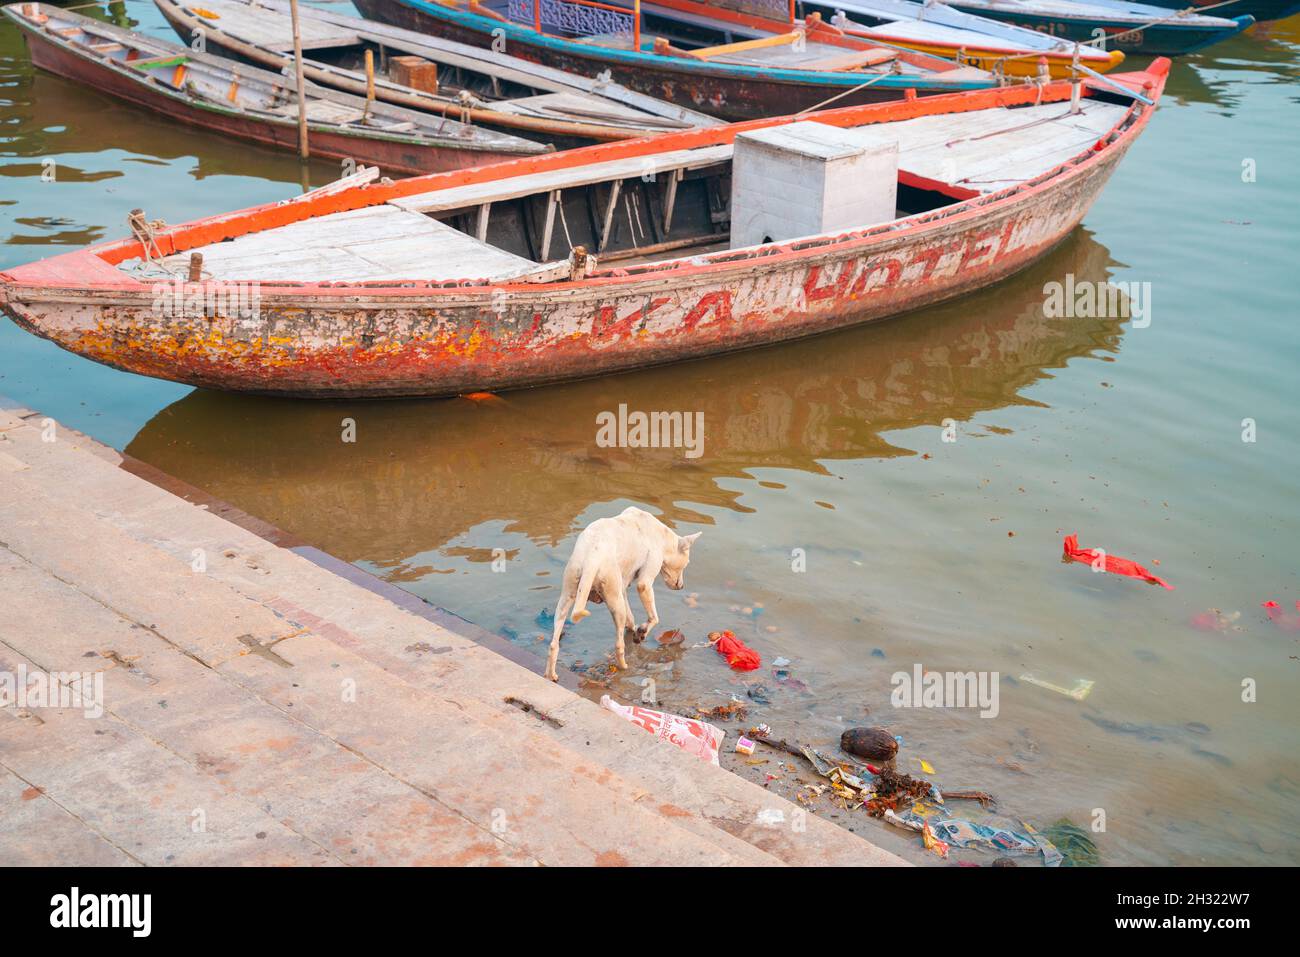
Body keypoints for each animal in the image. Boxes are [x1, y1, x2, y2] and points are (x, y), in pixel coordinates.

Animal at [543, 509, 702, 681]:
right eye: (686, 564)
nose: (681, 586)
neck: (662, 536)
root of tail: (592, 556)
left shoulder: (623, 587)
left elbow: (630, 617)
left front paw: (634, 629)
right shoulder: (644, 583)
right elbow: (654, 617)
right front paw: (642, 631)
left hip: (568, 595)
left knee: (554, 643)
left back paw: (550, 675)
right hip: (614, 600)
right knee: (619, 644)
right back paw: (624, 667)